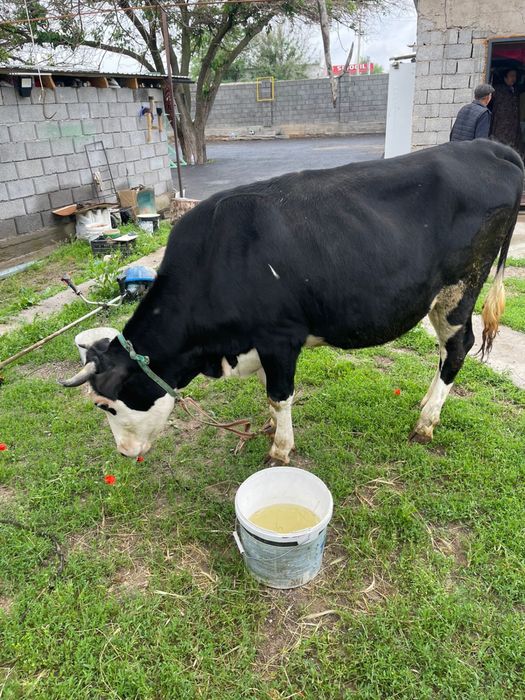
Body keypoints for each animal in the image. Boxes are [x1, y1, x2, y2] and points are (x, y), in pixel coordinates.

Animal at [60, 139, 524, 464]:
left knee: (459, 346)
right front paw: (268, 428)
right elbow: (269, 393)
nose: (123, 454)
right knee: (446, 349)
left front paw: (280, 448)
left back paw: (425, 423)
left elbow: (279, 394)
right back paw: (426, 404)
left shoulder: (279, 336)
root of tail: (488, 146)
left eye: (106, 406)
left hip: (459, 289)